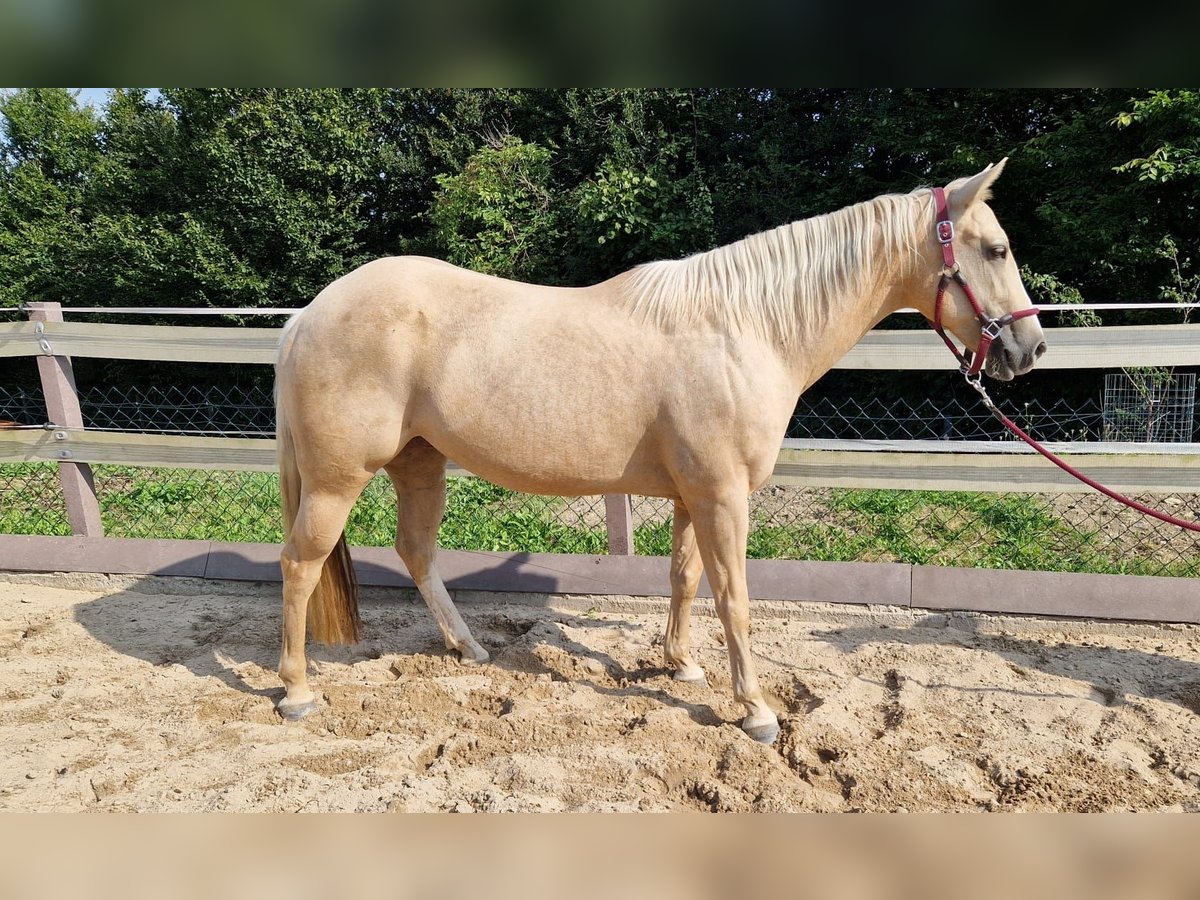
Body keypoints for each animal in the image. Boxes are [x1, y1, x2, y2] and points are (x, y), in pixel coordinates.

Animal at [272, 158, 1041, 744]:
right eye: (996, 250)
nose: (1029, 349)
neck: (744, 328)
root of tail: (310, 313)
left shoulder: (694, 495)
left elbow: (685, 579)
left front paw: (682, 666)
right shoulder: (723, 496)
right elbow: (734, 598)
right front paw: (756, 711)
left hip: (420, 464)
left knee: (416, 552)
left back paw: (469, 647)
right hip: (338, 481)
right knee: (300, 565)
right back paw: (297, 690)